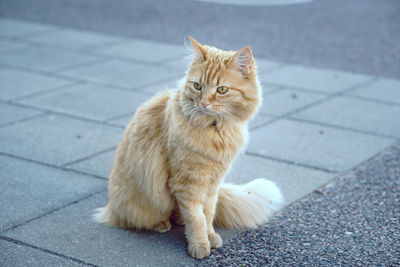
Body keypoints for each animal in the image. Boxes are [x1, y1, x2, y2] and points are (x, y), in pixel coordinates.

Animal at [94, 37, 284, 260]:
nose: (204, 103)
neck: (215, 130)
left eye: (222, 90)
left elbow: (207, 214)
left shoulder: (213, 184)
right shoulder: (187, 183)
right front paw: (200, 245)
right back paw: (162, 224)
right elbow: (196, 218)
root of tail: (110, 206)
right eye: (198, 86)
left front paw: (210, 236)